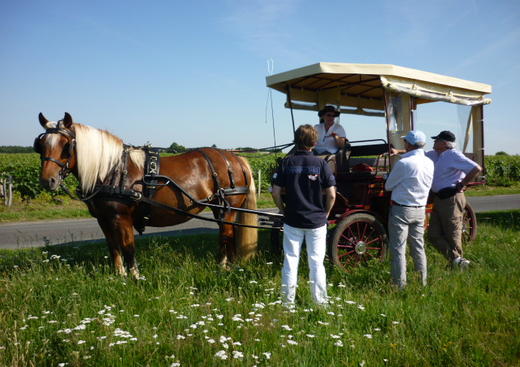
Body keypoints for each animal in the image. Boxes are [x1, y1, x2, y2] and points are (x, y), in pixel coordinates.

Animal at [34, 112, 258, 278]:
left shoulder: (121, 218)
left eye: (66, 145)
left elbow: (128, 247)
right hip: (220, 209)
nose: (47, 180)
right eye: (41, 144)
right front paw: (119, 275)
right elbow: (113, 247)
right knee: (228, 233)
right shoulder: (103, 219)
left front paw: (134, 277)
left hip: (226, 208)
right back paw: (230, 264)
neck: (111, 170)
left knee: (226, 234)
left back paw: (223, 266)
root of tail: (234, 158)